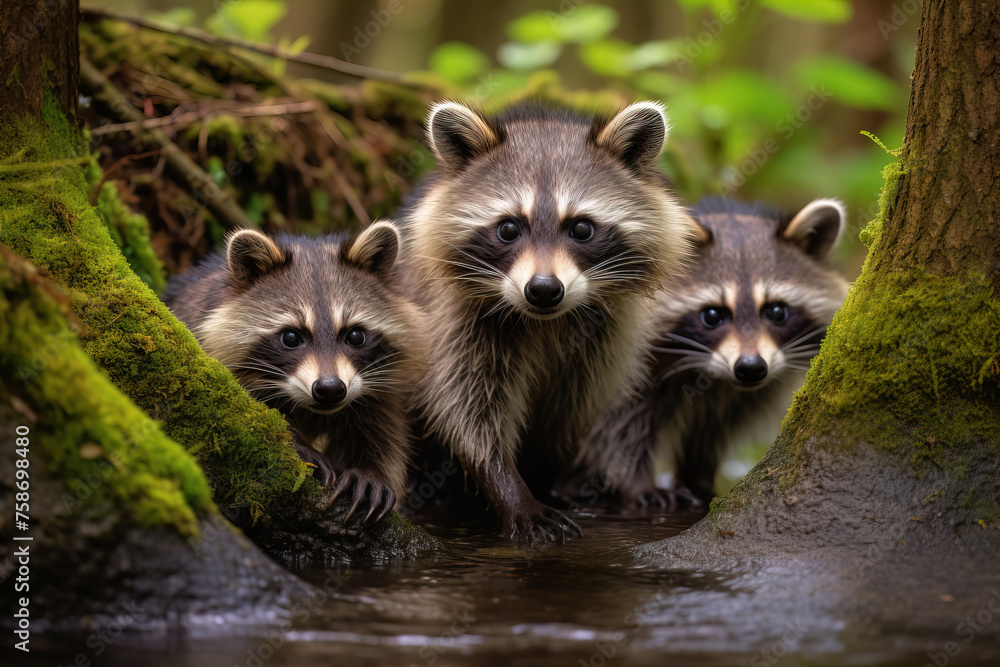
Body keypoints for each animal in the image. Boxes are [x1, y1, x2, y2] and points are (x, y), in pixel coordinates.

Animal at [163, 222, 422, 522]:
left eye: (356, 336)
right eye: (290, 337)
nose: (330, 389)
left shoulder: (378, 389)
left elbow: (385, 434)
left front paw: (371, 471)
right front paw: (295, 442)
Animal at [400, 101, 697, 542]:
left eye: (581, 228)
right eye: (508, 228)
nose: (542, 289)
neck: (545, 320)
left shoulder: (603, 337)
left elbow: (570, 413)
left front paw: (544, 479)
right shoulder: (457, 320)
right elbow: (465, 411)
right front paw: (509, 488)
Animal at [572, 197, 849, 507]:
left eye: (777, 311)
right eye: (713, 315)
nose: (751, 368)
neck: (710, 375)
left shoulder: (735, 398)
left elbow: (711, 432)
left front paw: (699, 477)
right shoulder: (621, 362)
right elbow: (618, 428)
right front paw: (636, 482)